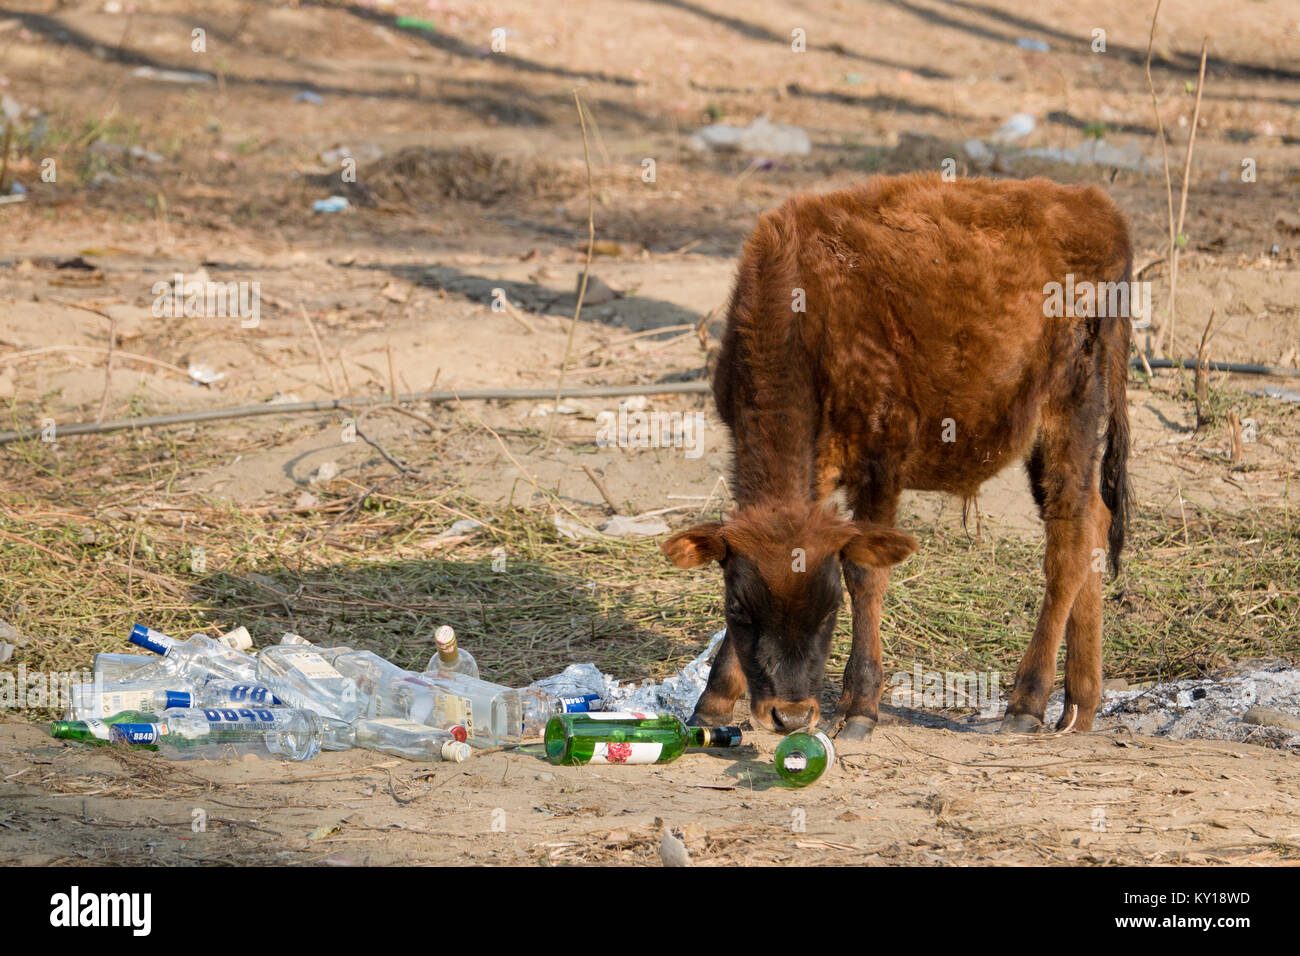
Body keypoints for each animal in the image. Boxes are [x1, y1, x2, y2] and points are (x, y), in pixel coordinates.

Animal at [660, 171, 1128, 738]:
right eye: (738, 608)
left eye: (829, 611)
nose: (789, 716)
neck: (805, 311)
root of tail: (1095, 207)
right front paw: (712, 703)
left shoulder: (880, 462)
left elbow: (867, 575)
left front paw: (861, 706)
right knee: (1094, 521)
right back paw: (1080, 705)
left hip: (1070, 415)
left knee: (1068, 541)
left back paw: (1027, 703)